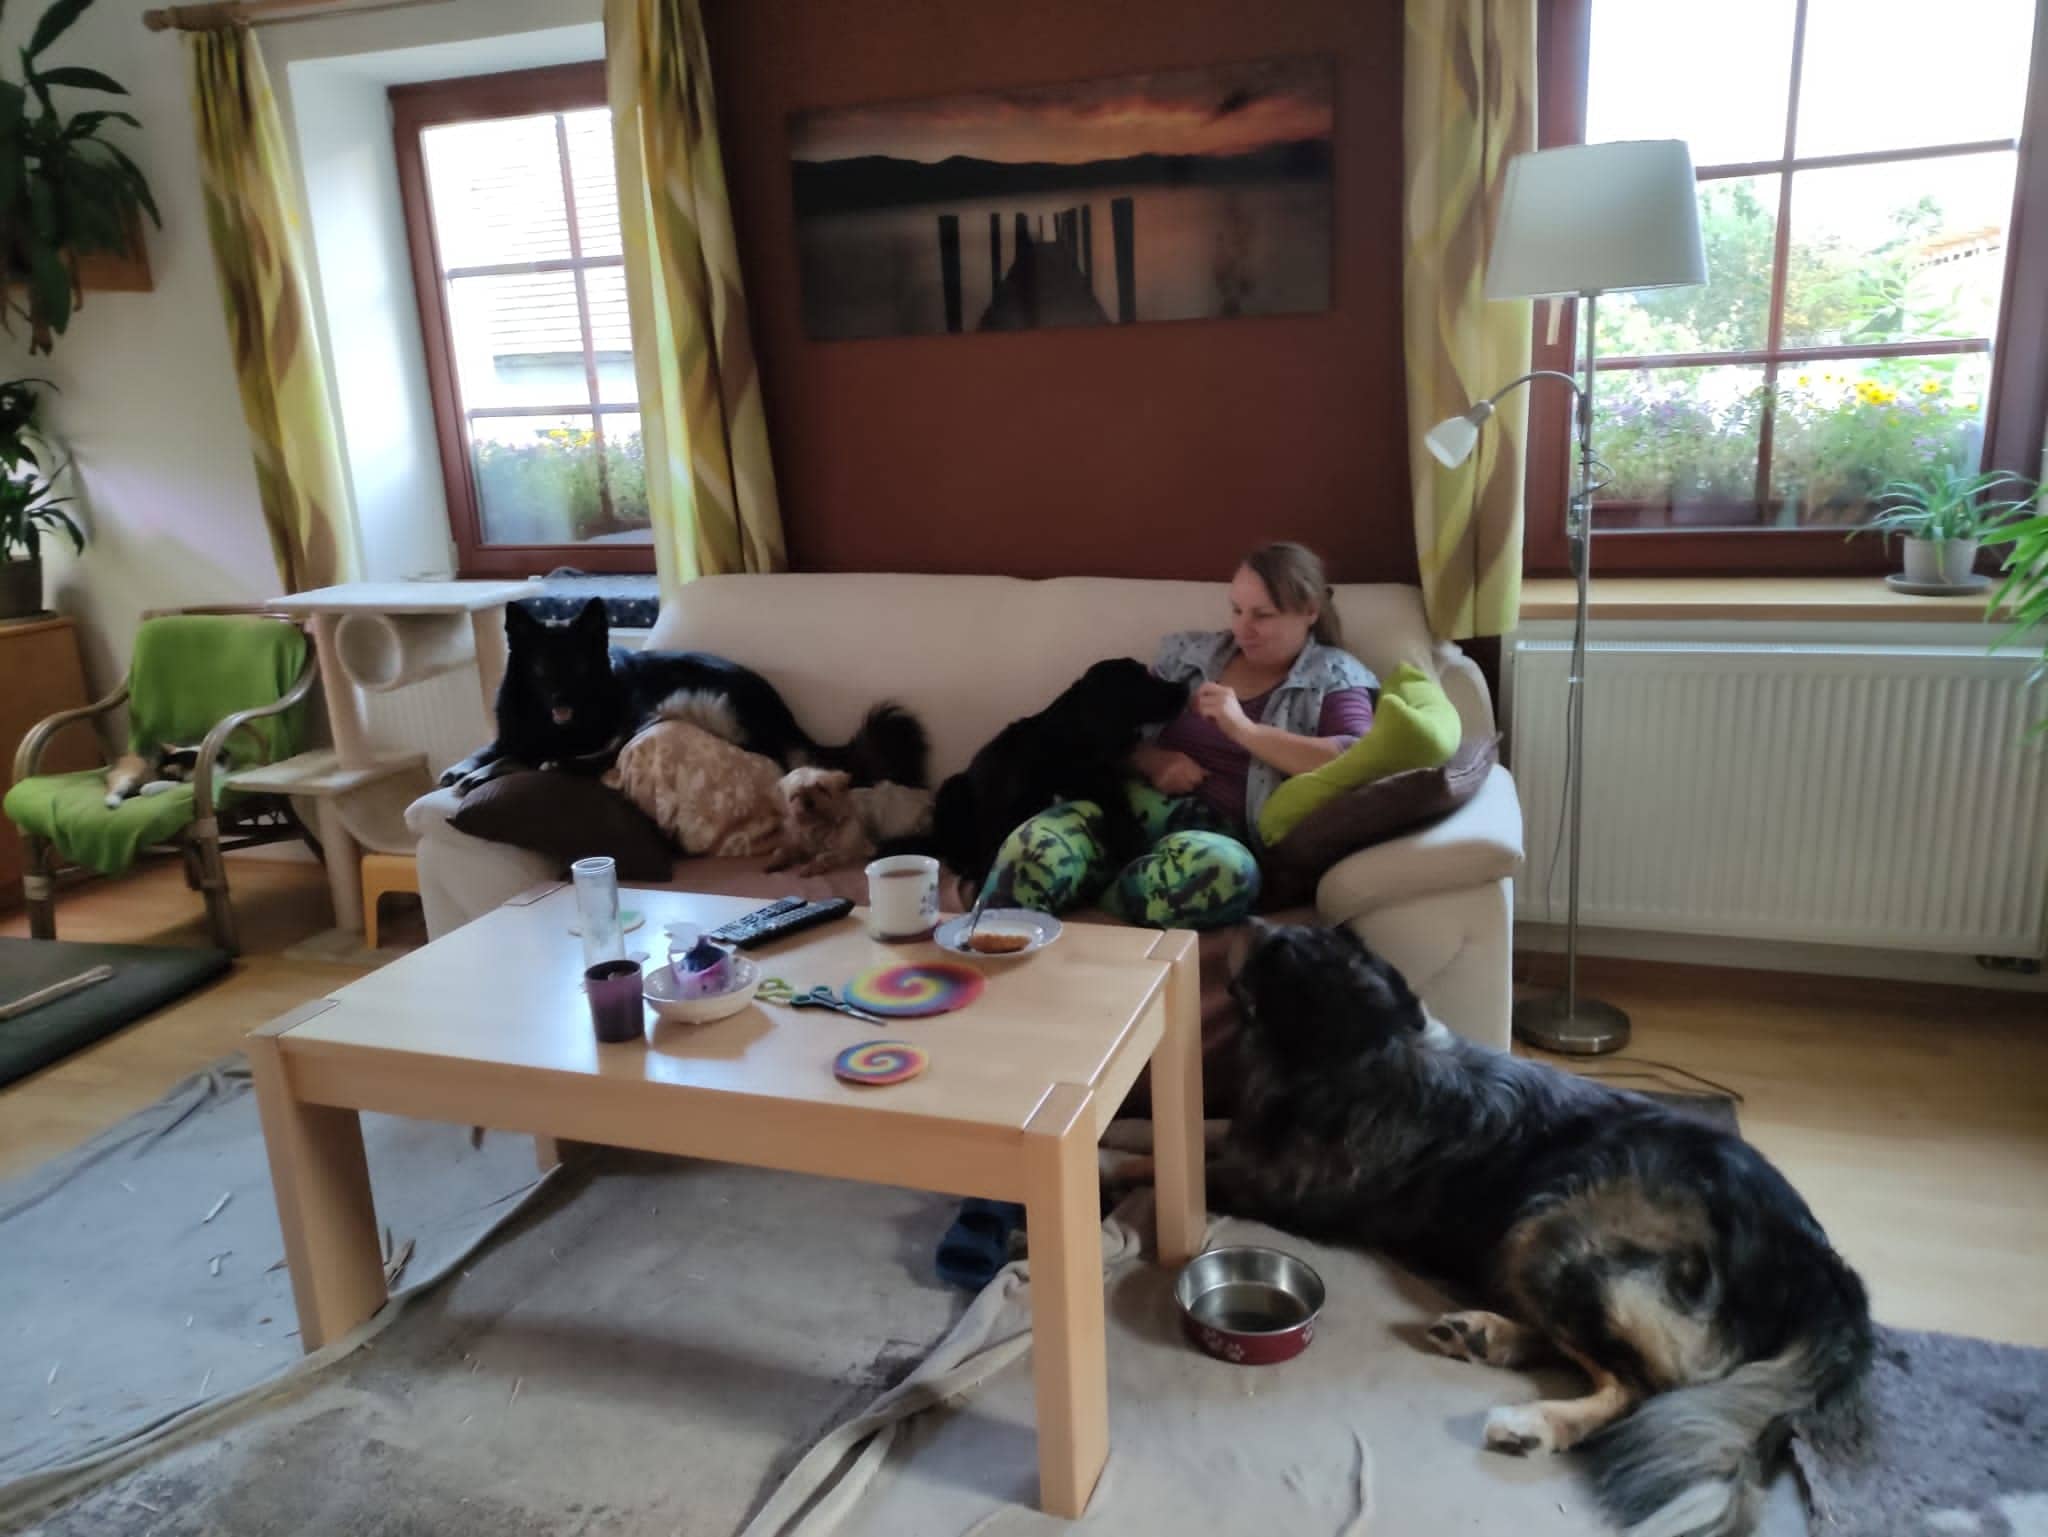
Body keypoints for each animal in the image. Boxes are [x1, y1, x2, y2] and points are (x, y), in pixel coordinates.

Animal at [441, 598, 928, 795]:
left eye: (579, 667)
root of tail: (785, 716)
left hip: (693, 704)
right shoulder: (513, 733)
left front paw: (486, 774)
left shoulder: (606, 731)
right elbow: (496, 747)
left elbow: (525, 758)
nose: (562, 700)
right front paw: (464, 767)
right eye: (542, 668)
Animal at [1212, 921, 1872, 1537]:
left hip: (1555, 1232)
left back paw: (1535, 1423)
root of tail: (1818, 1263)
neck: (1371, 1045)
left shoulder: (1278, 1185)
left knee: (1643, 1385)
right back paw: (1484, 1335)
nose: (1250, 922)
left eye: (1278, 952)